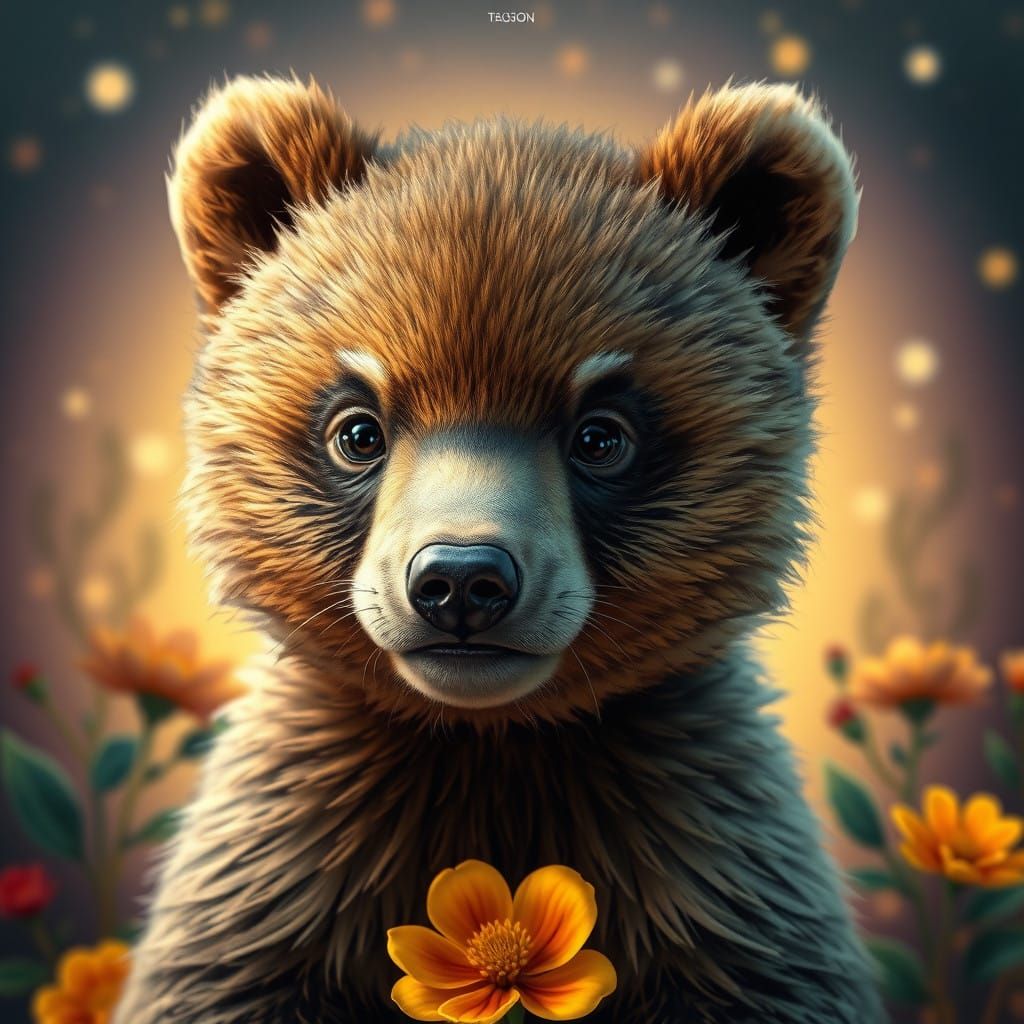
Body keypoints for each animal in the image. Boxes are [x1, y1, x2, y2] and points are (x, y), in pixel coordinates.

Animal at [115, 75, 882, 1023]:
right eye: (357, 430)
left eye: (601, 435)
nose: (460, 580)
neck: (491, 744)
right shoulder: (276, 879)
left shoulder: (720, 877)